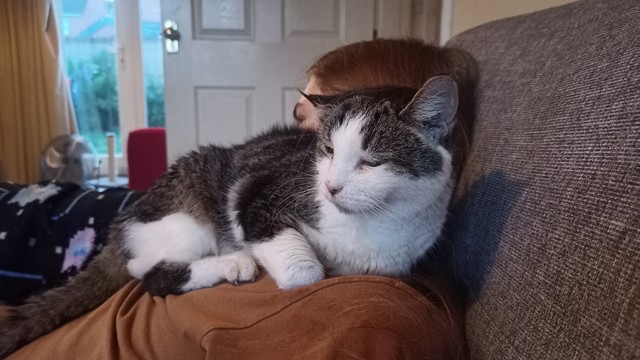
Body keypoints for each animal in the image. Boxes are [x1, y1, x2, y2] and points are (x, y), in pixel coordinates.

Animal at [0, 74, 460, 356]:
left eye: (371, 162)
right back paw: (233, 262)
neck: (370, 225)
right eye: (328, 151)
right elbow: (304, 269)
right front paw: (293, 262)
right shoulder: (255, 197)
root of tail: (121, 225)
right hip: (189, 208)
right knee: (151, 273)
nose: (330, 187)